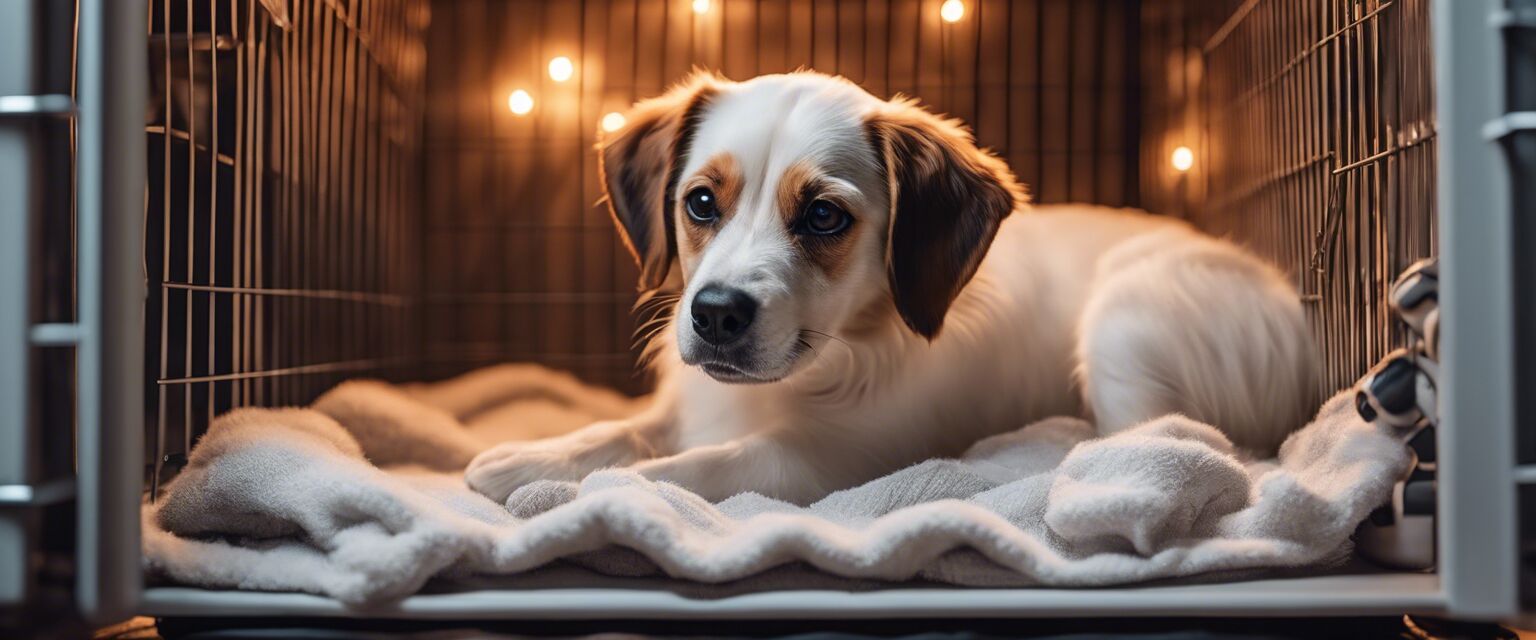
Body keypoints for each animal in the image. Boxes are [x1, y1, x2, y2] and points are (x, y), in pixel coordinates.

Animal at [466, 70, 1320, 503]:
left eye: (822, 216)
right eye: (700, 203)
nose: (714, 315)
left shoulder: (833, 462)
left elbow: (690, 468)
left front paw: (590, 492)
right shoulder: (689, 404)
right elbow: (621, 432)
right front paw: (527, 460)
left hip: (1125, 322)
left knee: (1179, 441)